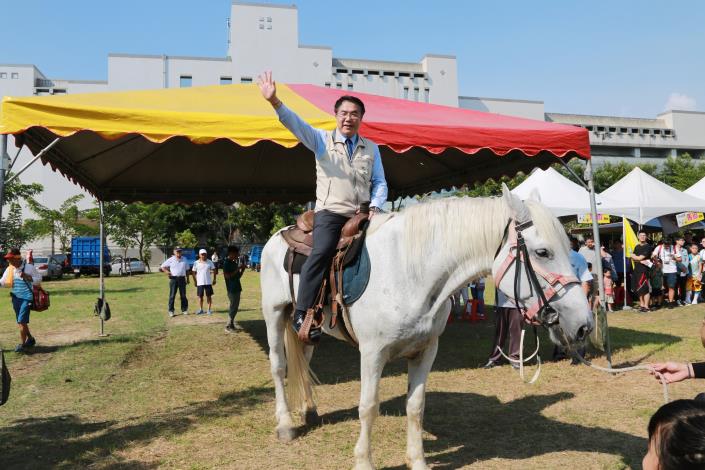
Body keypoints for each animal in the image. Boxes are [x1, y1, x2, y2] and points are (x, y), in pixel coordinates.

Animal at [258, 185, 588, 468]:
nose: (583, 325)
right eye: (543, 252)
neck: (409, 270)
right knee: (278, 366)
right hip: (274, 314)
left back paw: (310, 410)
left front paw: (417, 460)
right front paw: (363, 461)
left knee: (305, 359)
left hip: (307, 330)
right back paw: (285, 424)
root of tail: (281, 235)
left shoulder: (426, 350)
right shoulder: (372, 354)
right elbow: (368, 406)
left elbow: (415, 406)